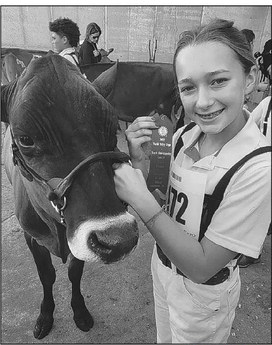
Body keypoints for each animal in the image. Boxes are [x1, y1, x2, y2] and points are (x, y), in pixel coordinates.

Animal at [1, 53, 139, 338]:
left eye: (113, 130)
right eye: (25, 139)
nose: (118, 239)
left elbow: (75, 273)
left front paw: (80, 312)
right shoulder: (32, 237)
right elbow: (46, 276)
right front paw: (45, 315)